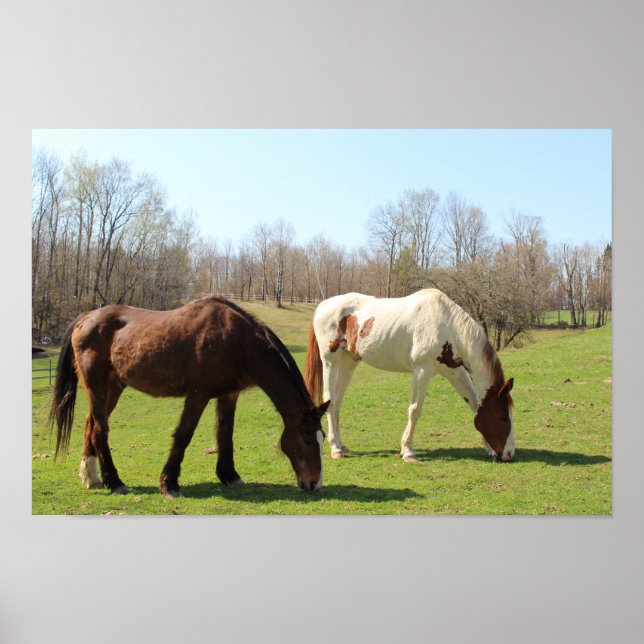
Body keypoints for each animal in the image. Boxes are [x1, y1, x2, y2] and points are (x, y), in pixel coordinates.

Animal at [49, 296, 330, 498]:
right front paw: (169, 483)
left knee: (91, 425)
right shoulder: (198, 395)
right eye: (306, 438)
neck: (237, 340)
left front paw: (229, 475)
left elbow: (225, 434)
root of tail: (86, 317)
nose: (315, 483)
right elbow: (184, 434)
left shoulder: (229, 395)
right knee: (100, 430)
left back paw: (92, 478)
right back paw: (115, 481)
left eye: (322, 437)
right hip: (97, 387)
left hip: (113, 388)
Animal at [304, 289, 515, 463]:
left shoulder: (455, 372)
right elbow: (414, 410)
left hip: (348, 364)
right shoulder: (422, 371)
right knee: (330, 399)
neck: (447, 325)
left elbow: (474, 404)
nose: (509, 454)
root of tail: (323, 305)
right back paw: (335, 449)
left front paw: (489, 449)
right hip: (330, 363)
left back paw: (341, 445)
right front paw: (407, 452)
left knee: (337, 401)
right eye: (503, 417)